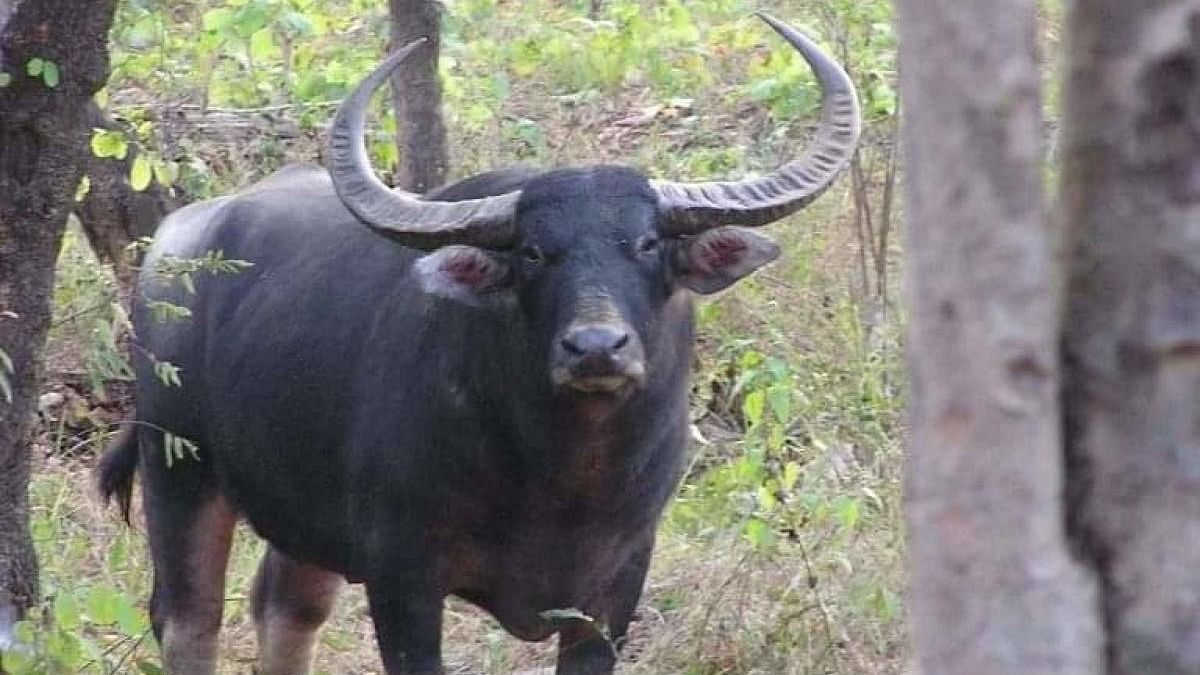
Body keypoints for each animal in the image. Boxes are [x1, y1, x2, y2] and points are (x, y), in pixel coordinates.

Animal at [98, 14, 859, 672]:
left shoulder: (616, 587)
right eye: (533, 251)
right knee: (190, 620)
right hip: (180, 474)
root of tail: (174, 242)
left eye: (646, 243)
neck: (561, 477)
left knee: (286, 610)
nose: (596, 347)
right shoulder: (402, 573)